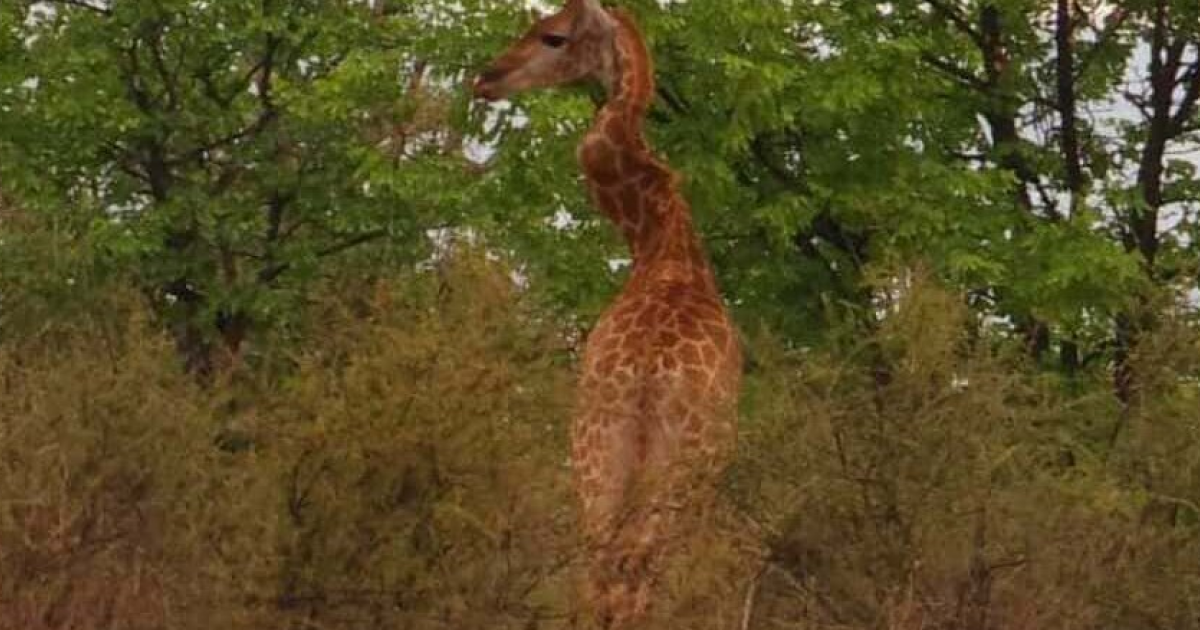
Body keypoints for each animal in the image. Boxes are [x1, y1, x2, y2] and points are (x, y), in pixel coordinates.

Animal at [470, 3, 739, 624]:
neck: (660, 243)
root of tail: (647, 376)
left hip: (595, 457)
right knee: (632, 576)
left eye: (553, 36)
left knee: (601, 576)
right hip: (669, 469)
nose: (485, 79)